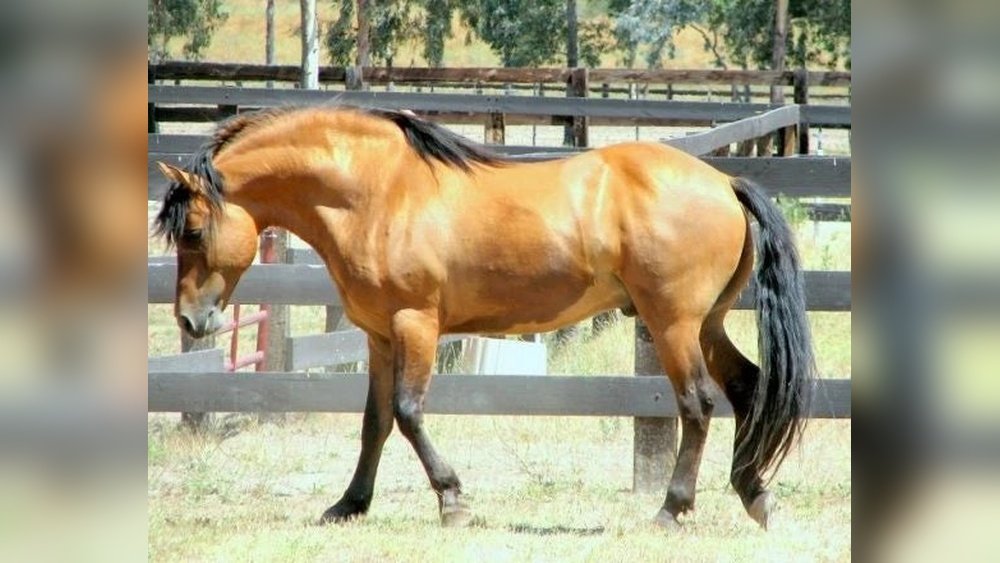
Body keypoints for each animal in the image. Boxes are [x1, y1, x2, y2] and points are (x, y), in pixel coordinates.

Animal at [154, 105, 814, 530]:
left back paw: (672, 510)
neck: (379, 193)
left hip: (673, 323)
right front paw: (349, 505)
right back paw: (756, 495)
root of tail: (725, 182)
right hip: (706, 325)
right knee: (748, 386)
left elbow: (409, 413)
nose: (190, 321)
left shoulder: (415, 324)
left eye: (192, 231)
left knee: (698, 405)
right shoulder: (379, 337)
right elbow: (374, 423)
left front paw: (452, 502)